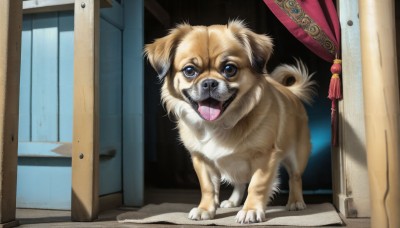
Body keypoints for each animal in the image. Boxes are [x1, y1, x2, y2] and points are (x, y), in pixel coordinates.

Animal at [145, 20, 316, 224]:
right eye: (189, 71)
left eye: (229, 69)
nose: (209, 83)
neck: (218, 123)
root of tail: (290, 92)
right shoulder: (202, 160)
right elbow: (208, 187)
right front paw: (205, 209)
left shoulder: (264, 157)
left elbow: (257, 185)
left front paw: (251, 210)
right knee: (240, 182)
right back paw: (233, 201)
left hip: (296, 156)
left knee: (295, 178)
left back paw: (296, 202)